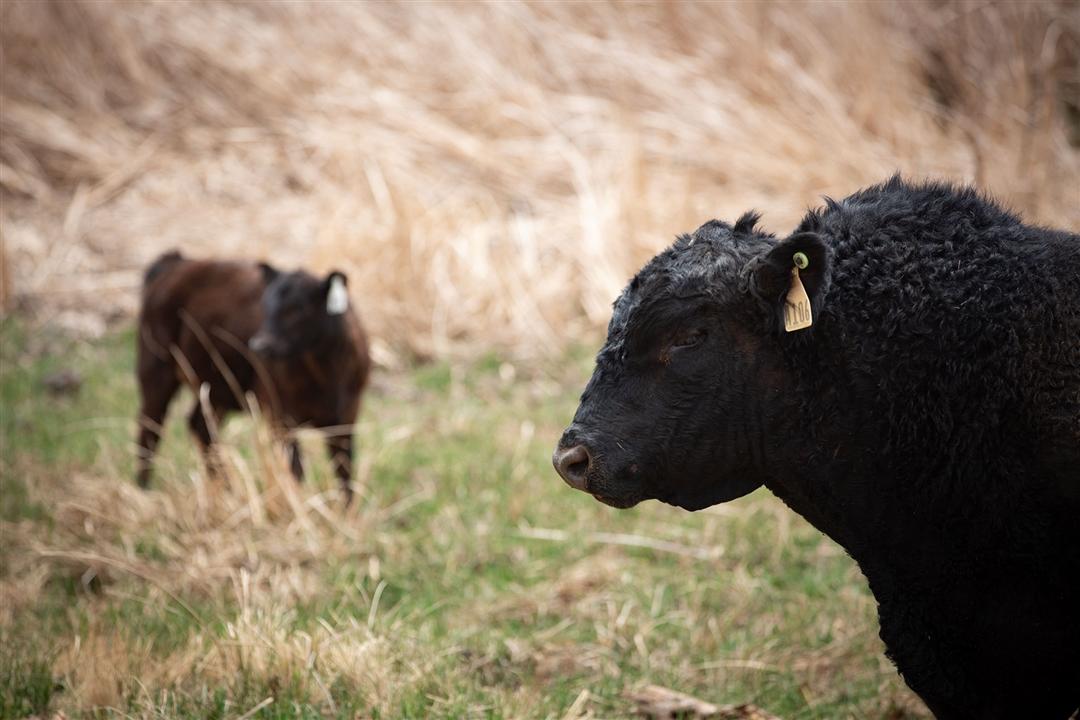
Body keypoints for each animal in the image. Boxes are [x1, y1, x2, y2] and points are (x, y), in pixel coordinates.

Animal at [133, 250, 371, 505]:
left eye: (298, 309)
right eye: (265, 306)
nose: (260, 346)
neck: (324, 374)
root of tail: (177, 261)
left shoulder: (346, 417)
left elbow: (345, 471)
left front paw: (345, 513)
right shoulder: (278, 414)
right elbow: (295, 469)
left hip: (217, 389)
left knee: (200, 426)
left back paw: (228, 492)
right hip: (156, 368)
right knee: (150, 428)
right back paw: (143, 492)